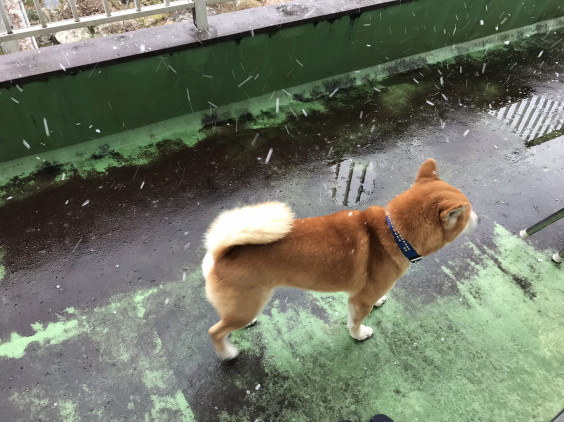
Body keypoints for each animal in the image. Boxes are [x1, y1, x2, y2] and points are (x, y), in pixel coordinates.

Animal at [202, 158, 476, 360]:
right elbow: (354, 322)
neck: (392, 233)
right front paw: (359, 335)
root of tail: (219, 253)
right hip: (244, 306)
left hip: (246, 304)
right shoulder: (359, 301)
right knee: (215, 331)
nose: (479, 218)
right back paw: (227, 352)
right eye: (468, 212)